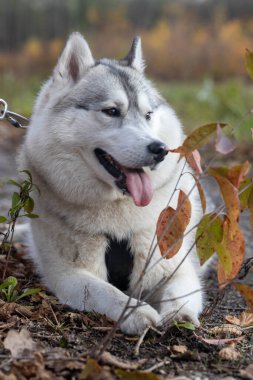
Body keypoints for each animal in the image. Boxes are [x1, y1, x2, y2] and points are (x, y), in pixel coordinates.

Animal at [19, 33, 204, 336]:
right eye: (112, 111)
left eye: (148, 114)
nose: (160, 149)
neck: (118, 210)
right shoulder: (68, 275)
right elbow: (106, 291)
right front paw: (136, 312)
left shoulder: (175, 269)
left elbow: (180, 292)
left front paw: (180, 315)